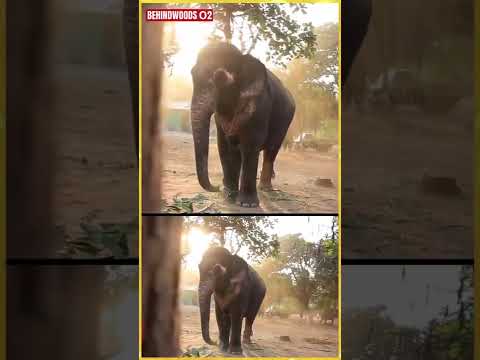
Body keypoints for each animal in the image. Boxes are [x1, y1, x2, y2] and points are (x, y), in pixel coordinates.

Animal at [189, 41, 294, 208]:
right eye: (192, 74)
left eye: (220, 77)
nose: (216, 187)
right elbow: (224, 145)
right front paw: (228, 196)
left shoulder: (260, 105)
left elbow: (250, 145)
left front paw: (247, 204)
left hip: (285, 123)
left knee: (271, 150)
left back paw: (265, 188)